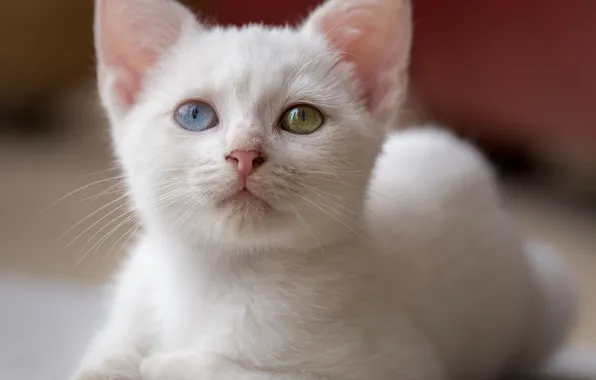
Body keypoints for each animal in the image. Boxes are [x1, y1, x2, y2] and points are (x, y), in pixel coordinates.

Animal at [71, 0, 576, 380]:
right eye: (194, 115)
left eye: (302, 118)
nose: (244, 154)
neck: (217, 276)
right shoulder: (127, 313)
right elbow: (104, 357)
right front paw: (122, 365)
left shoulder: (404, 364)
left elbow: (249, 373)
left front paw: (167, 364)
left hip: (549, 292)